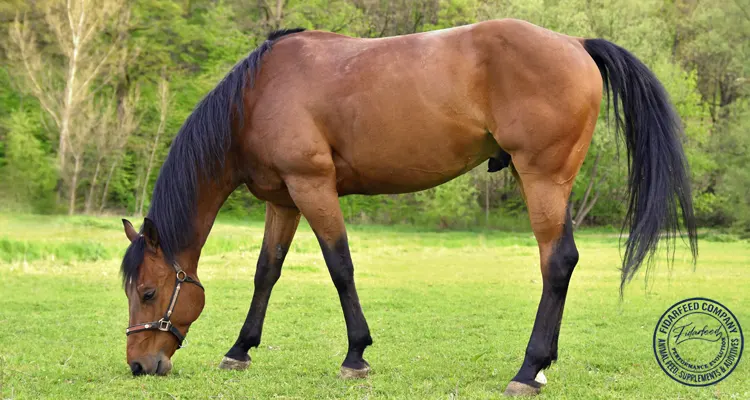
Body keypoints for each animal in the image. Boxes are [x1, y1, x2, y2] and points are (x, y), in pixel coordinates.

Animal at [120, 19, 697, 396]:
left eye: (148, 292)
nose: (140, 364)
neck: (260, 93)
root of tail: (574, 43)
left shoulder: (313, 187)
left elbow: (340, 266)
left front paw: (355, 355)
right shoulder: (284, 200)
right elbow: (268, 271)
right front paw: (240, 350)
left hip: (542, 179)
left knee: (556, 262)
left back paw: (527, 369)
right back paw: (540, 366)